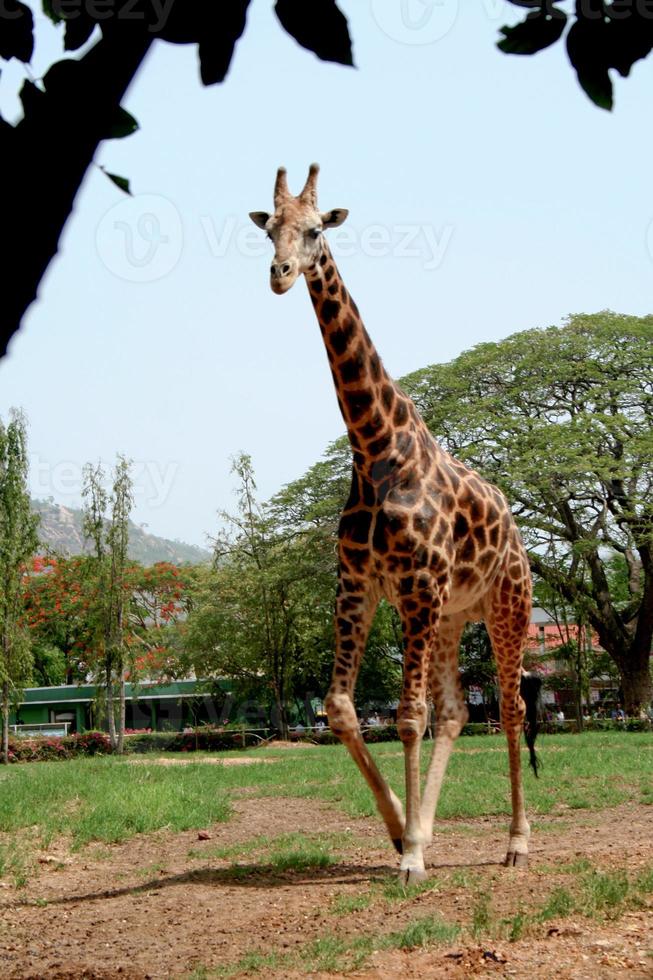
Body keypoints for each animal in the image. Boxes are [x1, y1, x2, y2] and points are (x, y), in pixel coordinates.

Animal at [247, 165, 536, 884]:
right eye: (269, 227)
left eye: (315, 229)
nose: (280, 273)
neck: (374, 447)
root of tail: (517, 531)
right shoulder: (360, 583)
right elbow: (342, 708)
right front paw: (401, 831)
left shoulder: (414, 585)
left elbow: (405, 716)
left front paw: (408, 856)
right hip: (450, 616)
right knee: (458, 711)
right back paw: (427, 828)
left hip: (505, 605)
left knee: (509, 708)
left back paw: (516, 842)